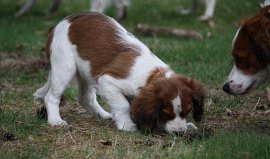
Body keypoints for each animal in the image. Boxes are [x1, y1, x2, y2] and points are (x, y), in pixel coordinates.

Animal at [34, 12, 205, 134]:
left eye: (187, 112)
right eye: (166, 113)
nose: (180, 132)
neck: (152, 74)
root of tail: (60, 24)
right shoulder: (108, 81)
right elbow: (123, 105)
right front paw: (127, 125)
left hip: (87, 70)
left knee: (85, 98)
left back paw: (103, 115)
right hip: (65, 66)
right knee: (51, 96)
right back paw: (55, 121)